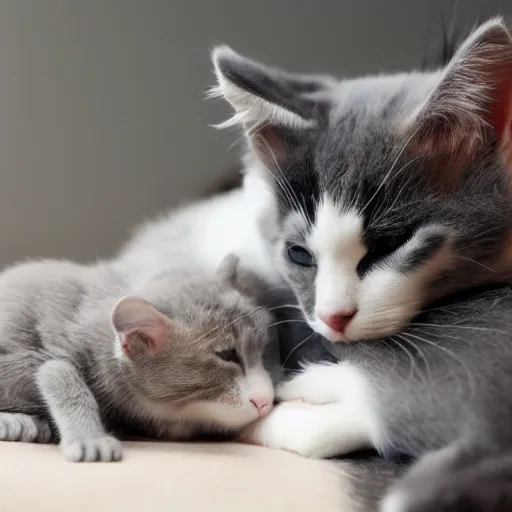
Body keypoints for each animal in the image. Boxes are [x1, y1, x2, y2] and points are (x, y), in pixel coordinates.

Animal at [0, 254, 276, 462]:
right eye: (227, 355)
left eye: (262, 348)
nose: (266, 401)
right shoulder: (51, 353)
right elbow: (58, 373)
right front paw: (90, 439)